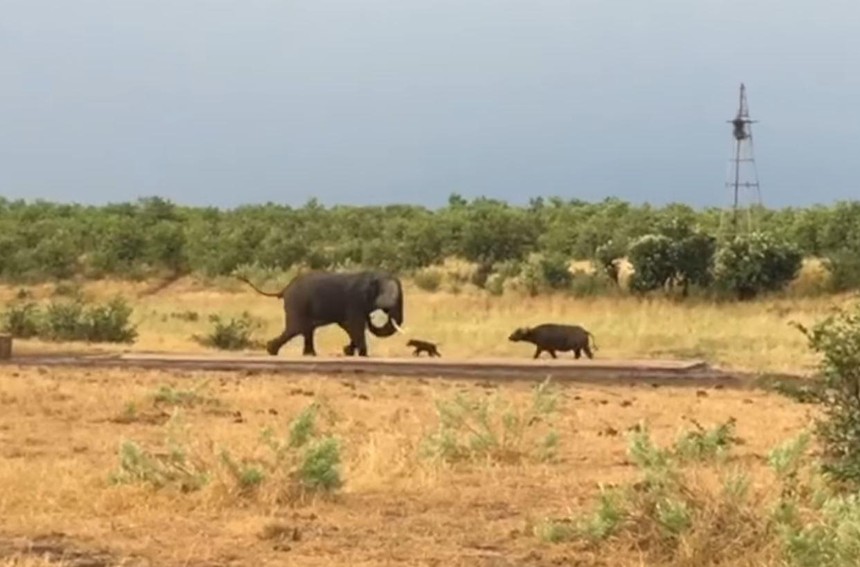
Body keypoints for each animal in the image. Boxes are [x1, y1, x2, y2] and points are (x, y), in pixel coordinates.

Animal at [237, 270, 404, 358]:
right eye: (393, 298)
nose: (372, 317)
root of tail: (285, 289)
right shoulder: (355, 300)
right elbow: (353, 325)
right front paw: (361, 354)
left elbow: (351, 326)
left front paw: (349, 352)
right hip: (298, 303)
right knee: (296, 328)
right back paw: (272, 351)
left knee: (305, 330)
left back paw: (309, 355)